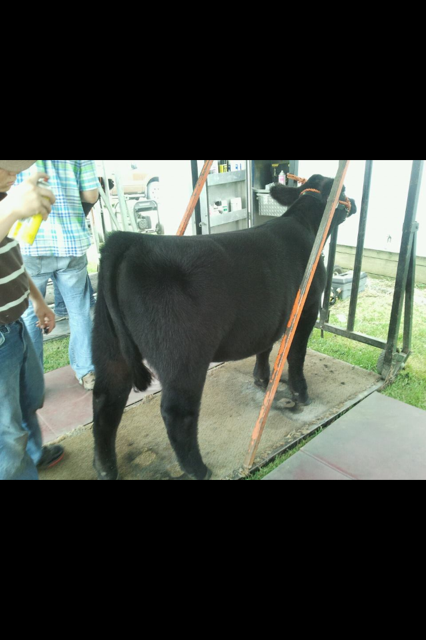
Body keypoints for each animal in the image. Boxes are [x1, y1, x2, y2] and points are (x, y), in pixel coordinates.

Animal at [92, 174, 357, 480]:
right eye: (343, 190)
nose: (355, 202)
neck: (305, 224)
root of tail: (128, 239)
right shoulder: (308, 307)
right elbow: (296, 355)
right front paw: (300, 393)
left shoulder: (270, 315)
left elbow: (265, 346)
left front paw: (262, 378)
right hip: (183, 356)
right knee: (176, 412)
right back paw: (199, 469)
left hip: (109, 348)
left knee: (105, 401)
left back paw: (106, 468)